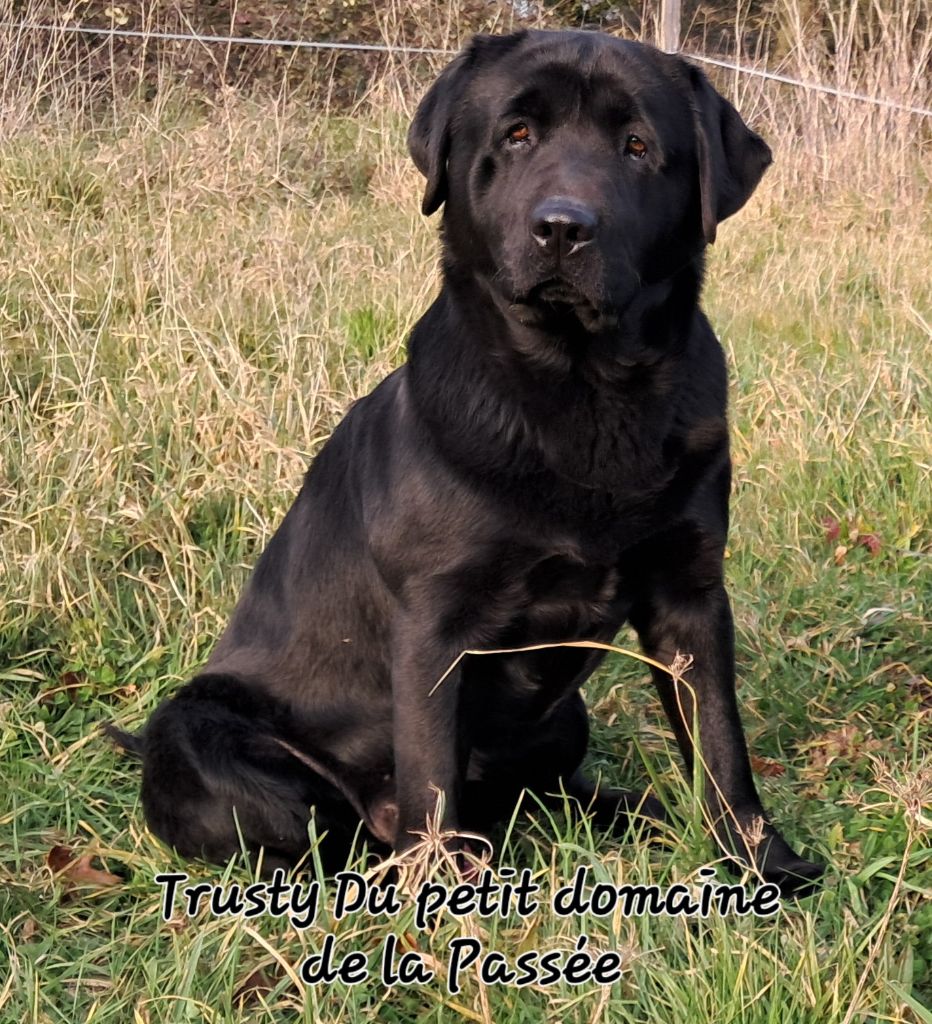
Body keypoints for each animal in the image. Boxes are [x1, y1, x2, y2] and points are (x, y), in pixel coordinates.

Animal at [109, 29, 823, 897]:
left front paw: (763, 863)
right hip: (210, 743)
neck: (584, 395)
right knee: (328, 832)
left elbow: (721, 744)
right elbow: (431, 769)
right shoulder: (436, 620)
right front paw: (446, 893)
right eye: (516, 135)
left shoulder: (688, 594)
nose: (563, 227)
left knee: (541, 794)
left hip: (564, 720)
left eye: (637, 146)